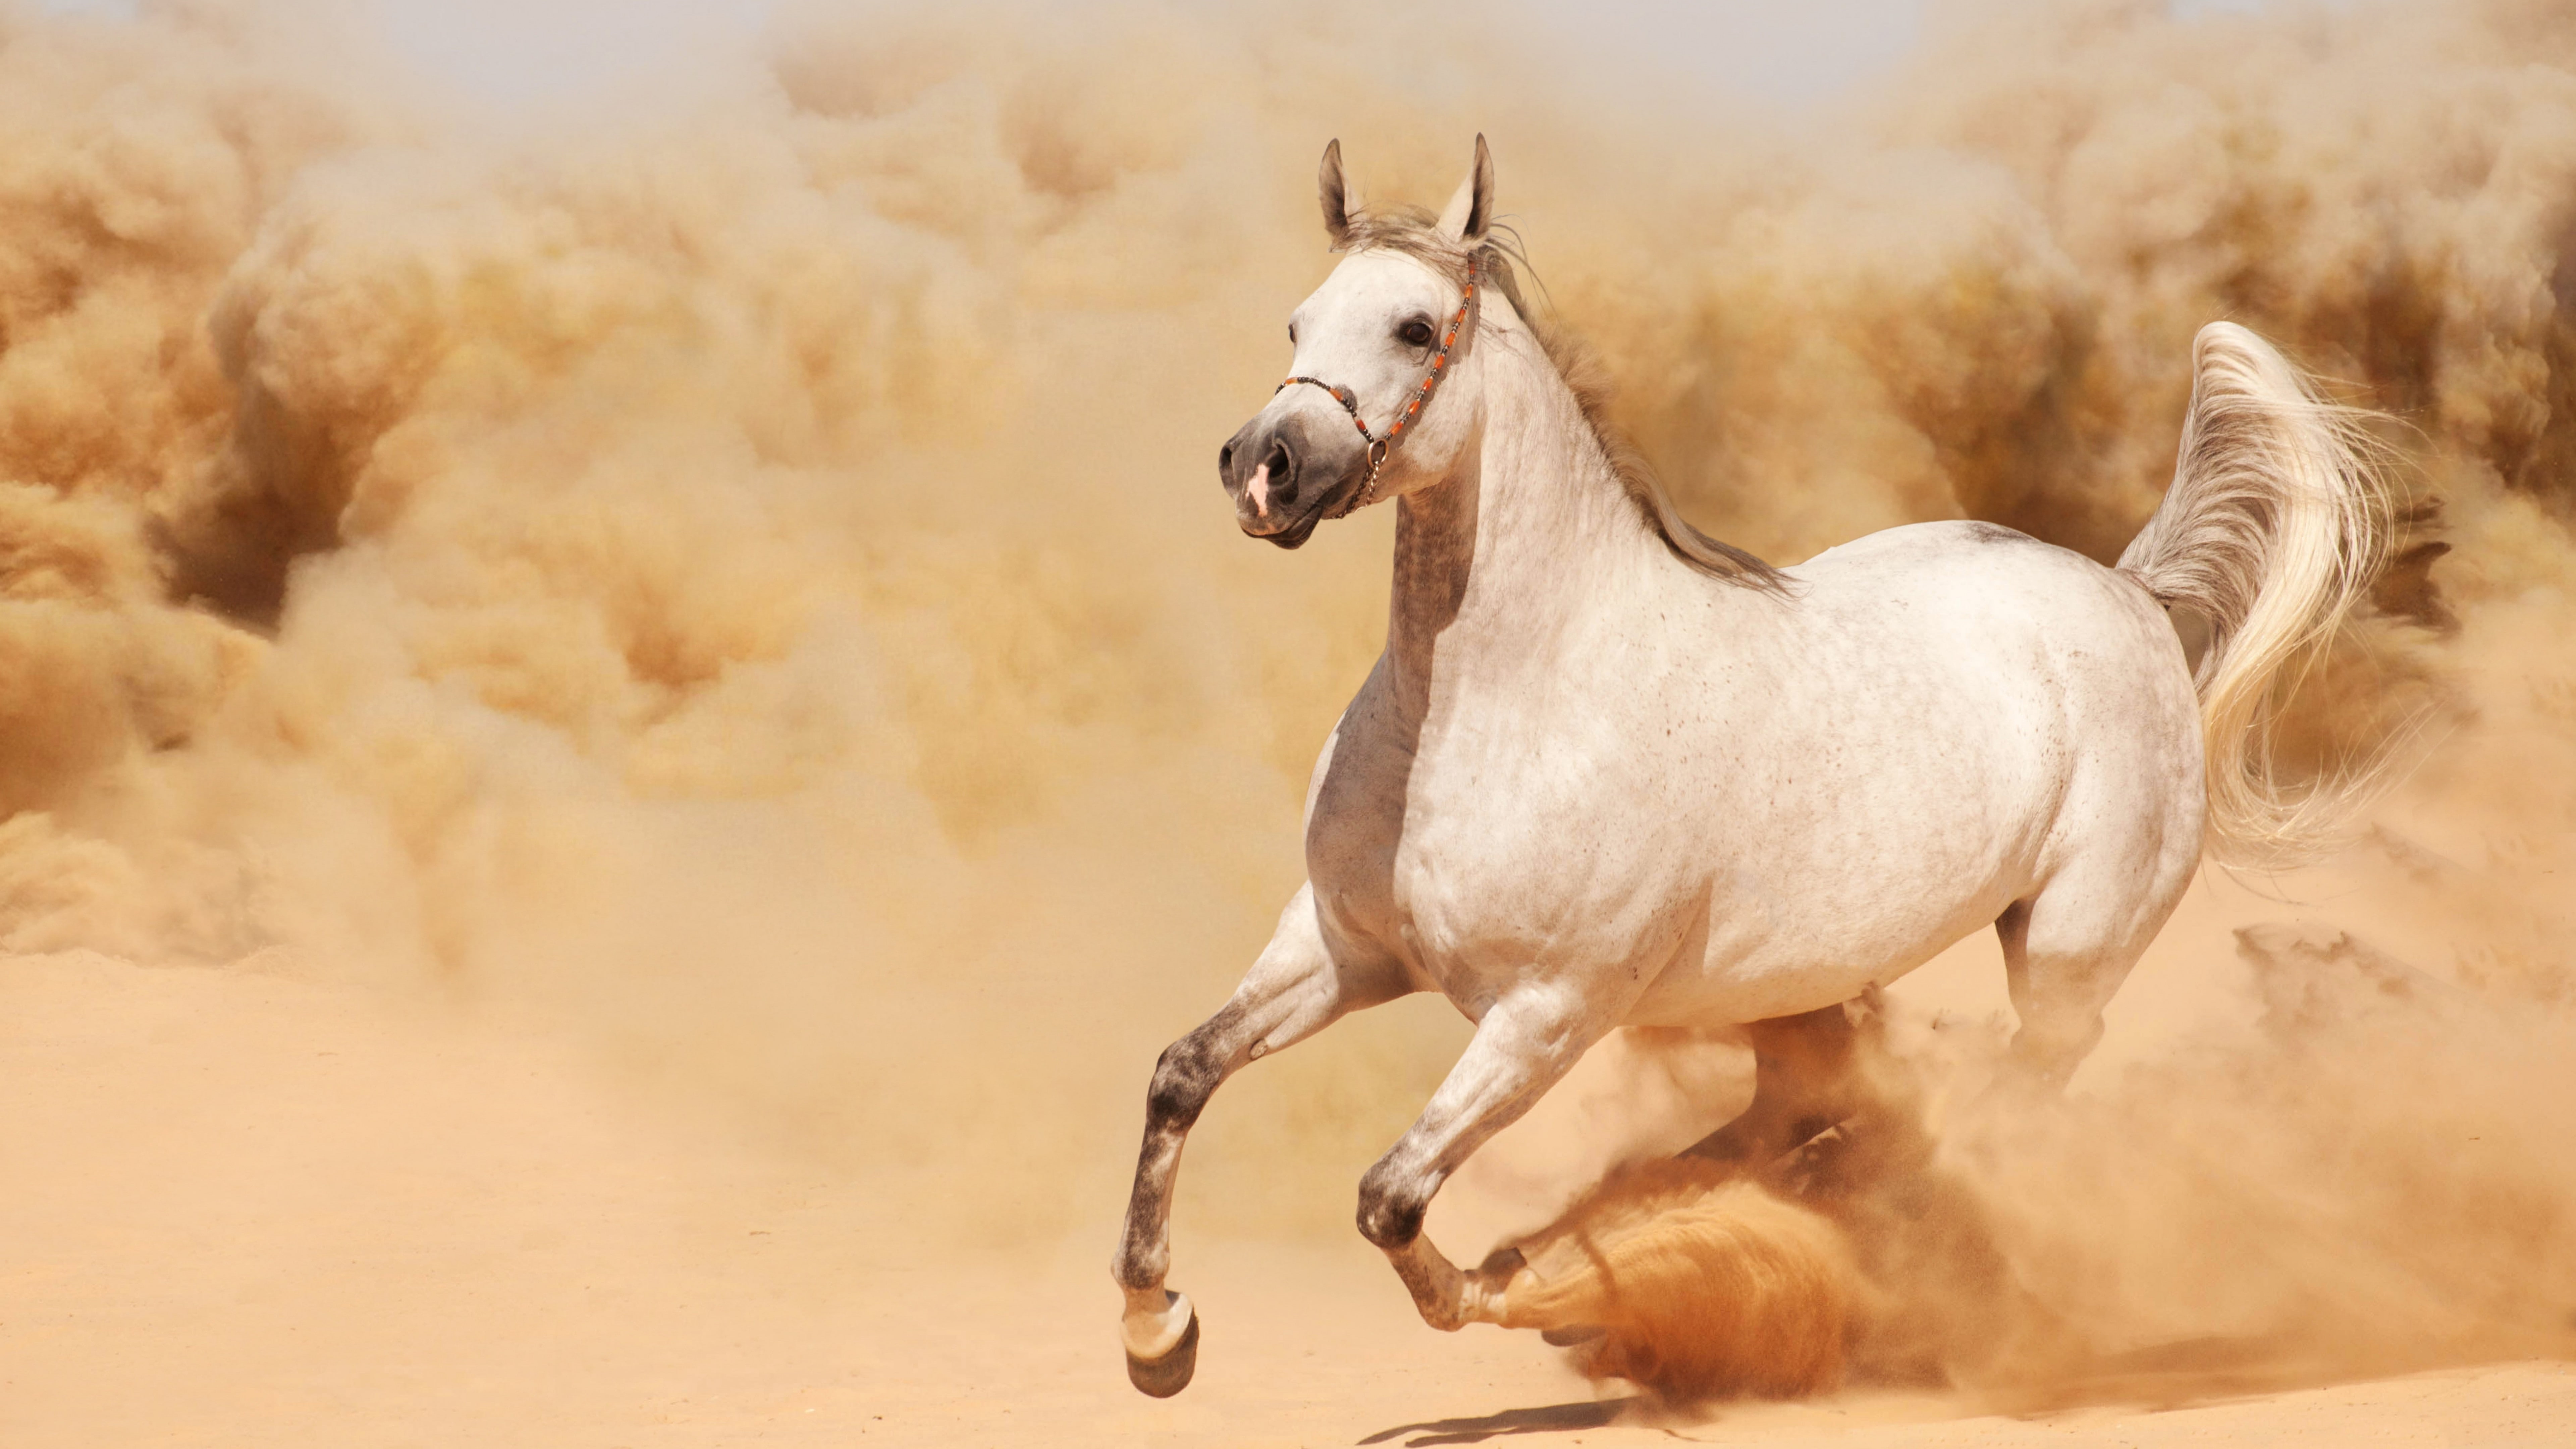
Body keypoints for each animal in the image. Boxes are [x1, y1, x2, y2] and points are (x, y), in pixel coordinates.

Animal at [1112, 135, 2396, 1397]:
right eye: (1297, 322)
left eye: (1415, 329)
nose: (1263, 468)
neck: (1499, 707)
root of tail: (2127, 594)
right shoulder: (1341, 948)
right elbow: (1181, 1072)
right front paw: (1156, 1333)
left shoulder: (1546, 1015)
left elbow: (1391, 1200)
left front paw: (1514, 1288)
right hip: (1824, 990)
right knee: (1825, 1116)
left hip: (2068, 957)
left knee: (2003, 1108)